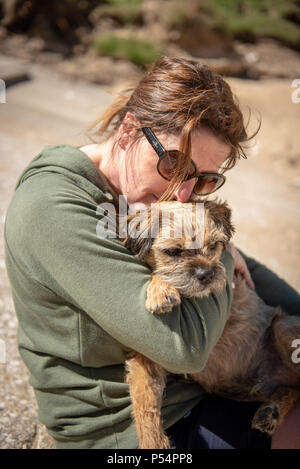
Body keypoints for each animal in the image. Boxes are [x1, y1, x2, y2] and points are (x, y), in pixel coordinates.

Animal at [120, 199, 298, 448]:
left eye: (214, 246)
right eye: (173, 252)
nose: (206, 273)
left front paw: (160, 289)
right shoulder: (148, 359)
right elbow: (145, 406)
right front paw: (153, 443)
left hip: (282, 329)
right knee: (291, 388)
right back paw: (271, 411)